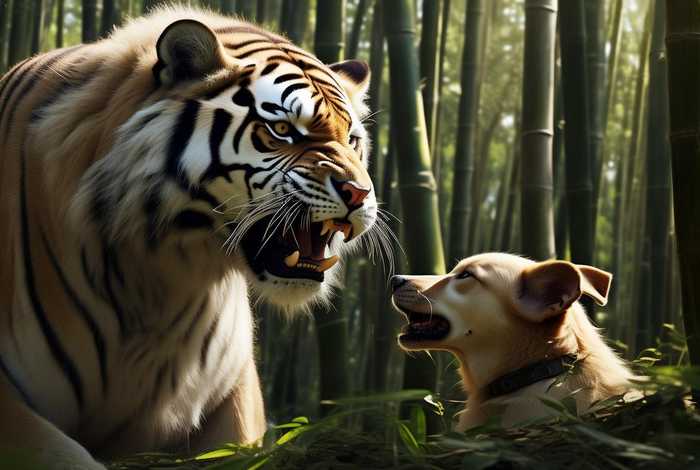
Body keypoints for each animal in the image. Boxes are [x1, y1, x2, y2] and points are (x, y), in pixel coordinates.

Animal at [0, 6, 376, 469]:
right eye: (284, 130)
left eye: (353, 140)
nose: (359, 193)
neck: (160, 275)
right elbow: (64, 455)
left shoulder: (232, 400)